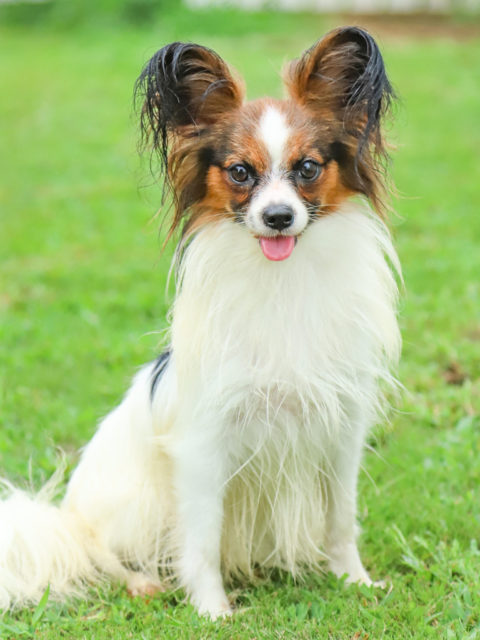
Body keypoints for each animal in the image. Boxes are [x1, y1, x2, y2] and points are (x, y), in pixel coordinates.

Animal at [0, 26, 400, 620]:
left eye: (307, 168)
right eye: (240, 172)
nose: (277, 217)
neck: (281, 280)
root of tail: (68, 518)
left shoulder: (341, 432)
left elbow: (340, 520)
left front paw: (354, 582)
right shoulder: (205, 446)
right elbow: (203, 539)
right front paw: (213, 609)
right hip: (130, 507)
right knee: (104, 553)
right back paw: (141, 581)